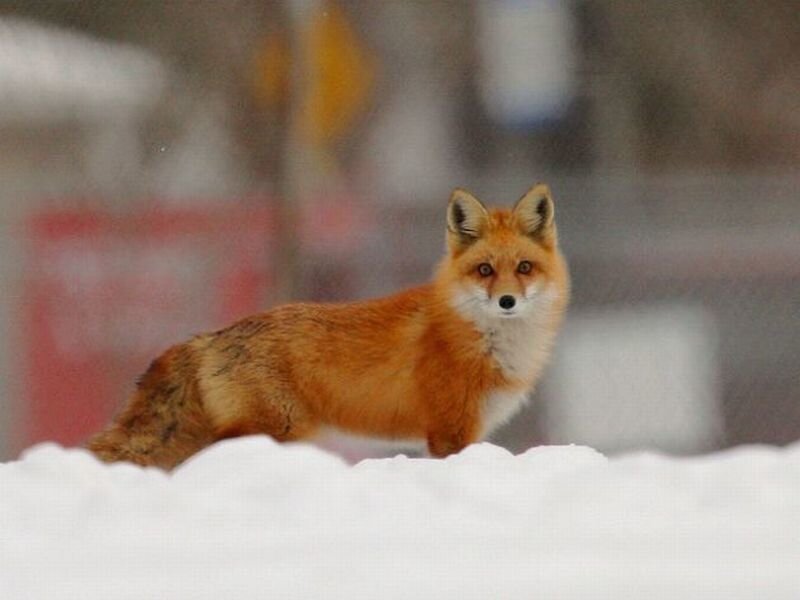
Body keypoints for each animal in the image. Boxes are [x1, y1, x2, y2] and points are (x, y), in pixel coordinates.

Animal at [87, 184, 569, 469]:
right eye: (485, 270)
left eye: (524, 268)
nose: (507, 301)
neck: (486, 342)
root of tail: (211, 336)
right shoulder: (451, 432)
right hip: (275, 429)